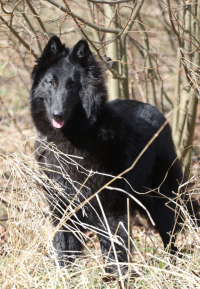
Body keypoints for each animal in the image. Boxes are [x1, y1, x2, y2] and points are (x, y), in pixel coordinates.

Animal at [30, 36, 194, 272]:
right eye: (50, 82)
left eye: (72, 85)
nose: (57, 114)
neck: (73, 139)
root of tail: (157, 112)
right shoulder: (62, 210)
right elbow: (64, 250)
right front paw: (64, 275)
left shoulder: (111, 211)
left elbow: (114, 252)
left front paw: (115, 277)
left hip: (160, 200)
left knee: (170, 236)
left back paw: (172, 266)